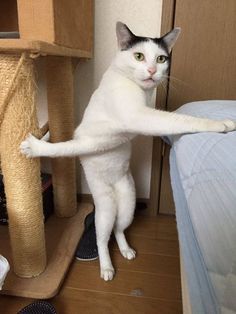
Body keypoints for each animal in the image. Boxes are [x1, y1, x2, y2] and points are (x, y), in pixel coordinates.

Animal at [19, 22, 236, 282]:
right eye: (139, 56)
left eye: (161, 58)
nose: (152, 70)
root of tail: (114, 190)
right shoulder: (138, 117)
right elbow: (181, 120)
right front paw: (221, 124)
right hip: (105, 207)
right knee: (102, 237)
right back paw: (106, 267)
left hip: (128, 204)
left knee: (118, 229)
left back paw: (125, 250)